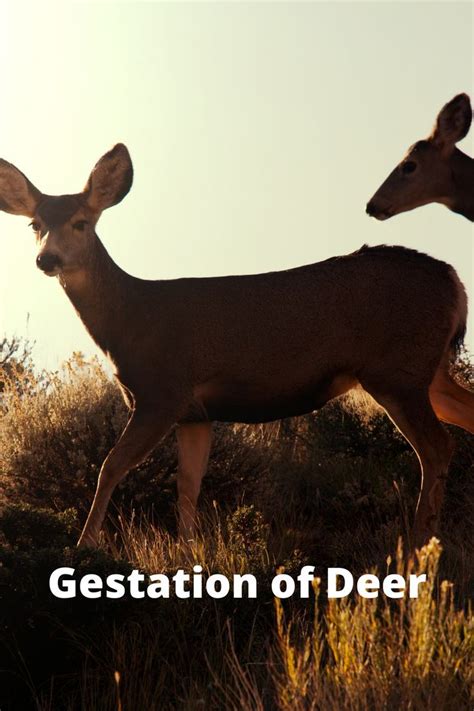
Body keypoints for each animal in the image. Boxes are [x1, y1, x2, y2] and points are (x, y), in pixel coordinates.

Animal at [0, 144, 473, 550]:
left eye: (81, 222)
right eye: (35, 225)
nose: (46, 259)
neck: (130, 321)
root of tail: (454, 281)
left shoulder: (162, 392)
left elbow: (109, 466)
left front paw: (83, 545)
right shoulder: (195, 414)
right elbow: (188, 484)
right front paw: (187, 550)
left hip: (397, 370)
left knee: (437, 446)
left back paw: (420, 540)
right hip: (427, 371)